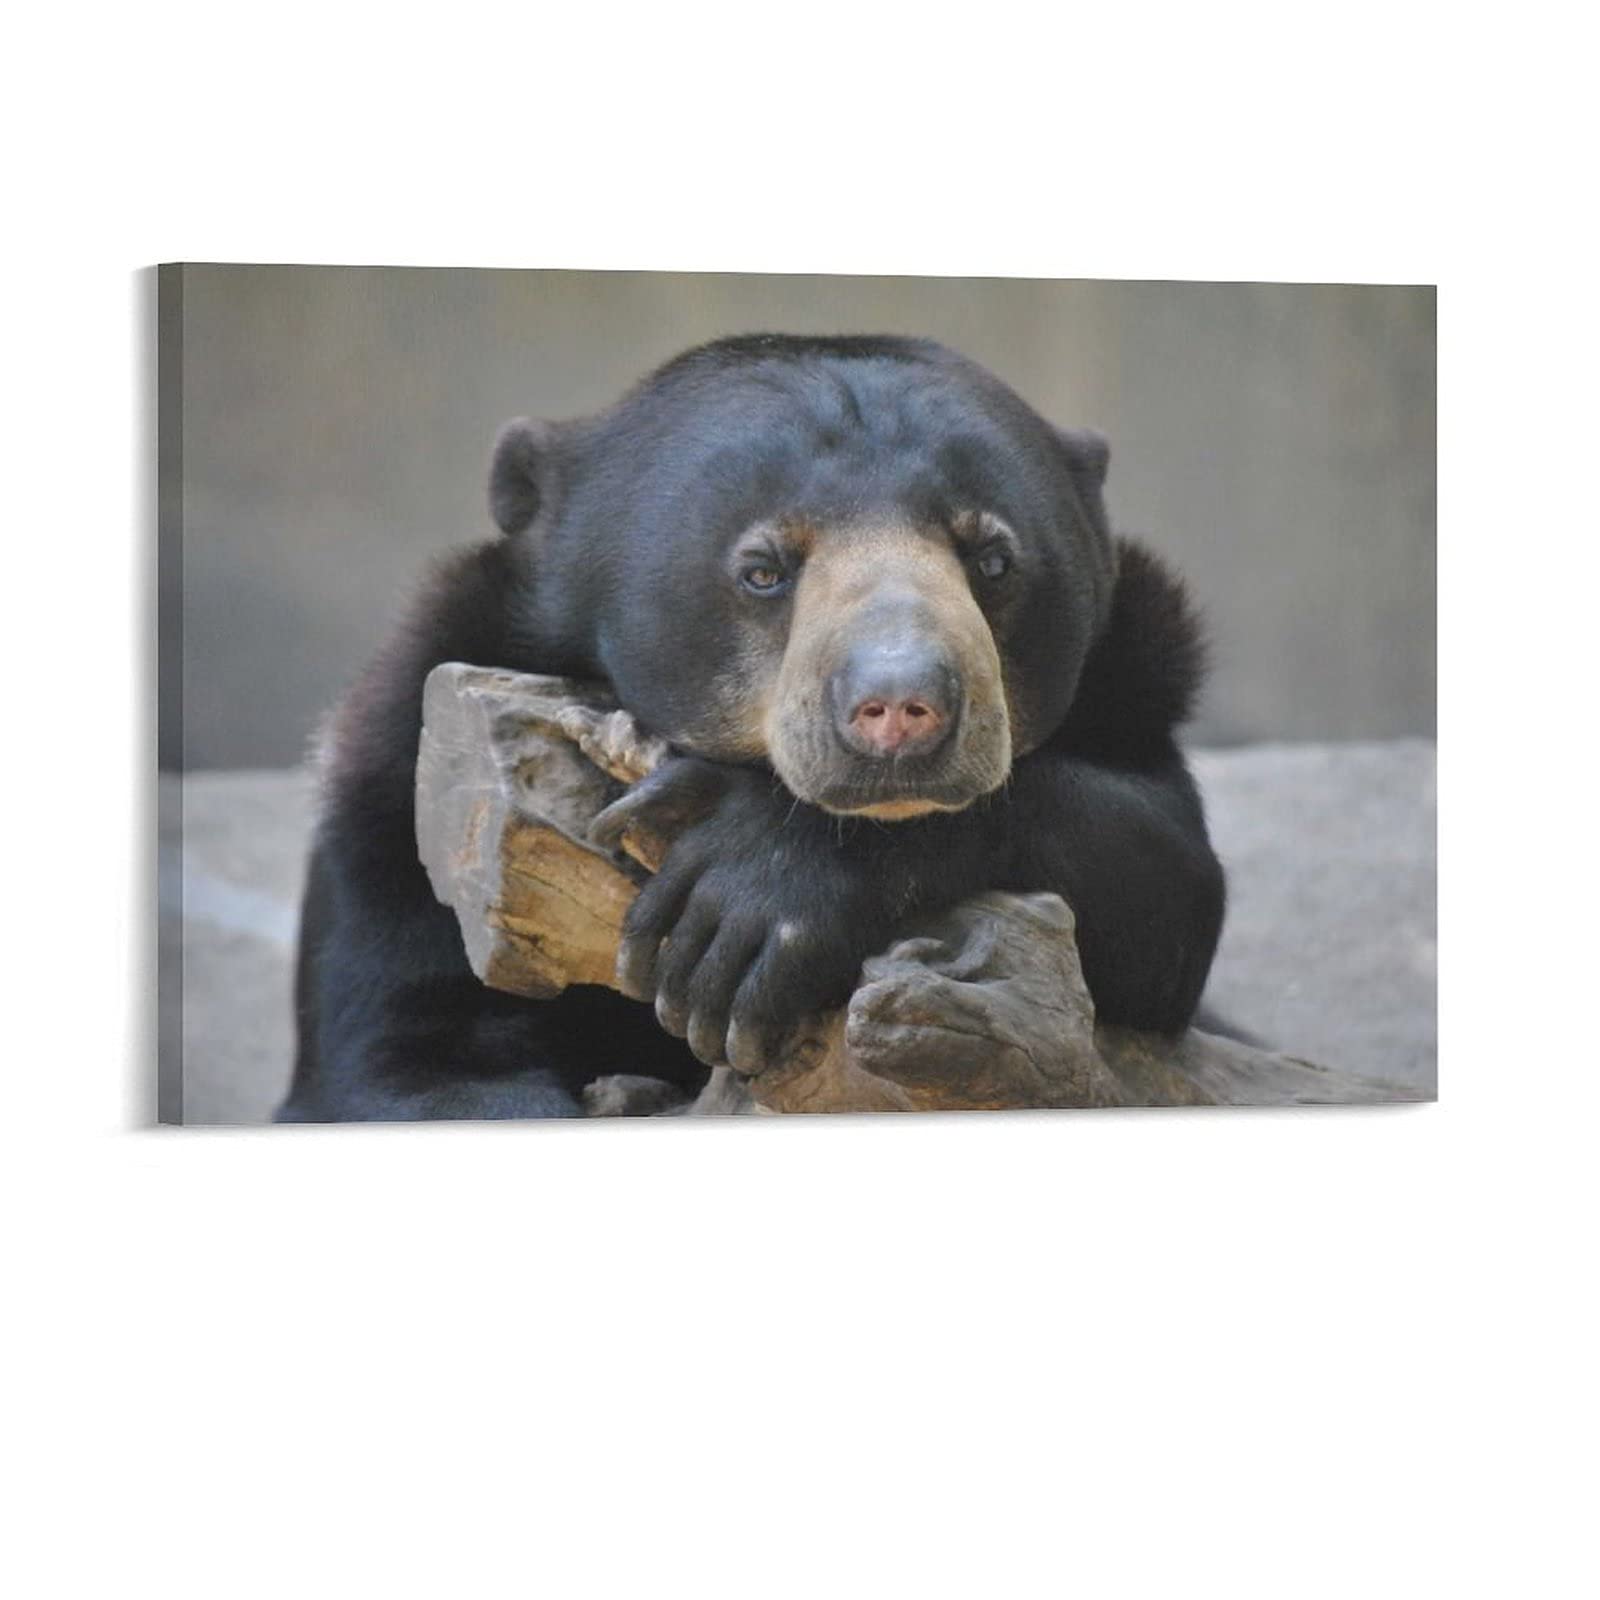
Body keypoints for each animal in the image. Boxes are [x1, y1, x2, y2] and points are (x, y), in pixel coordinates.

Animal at [280, 333, 1225, 1122]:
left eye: (993, 559)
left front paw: (749, 900)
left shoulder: (1139, 690)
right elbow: (419, 1045)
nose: (901, 707)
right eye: (763, 569)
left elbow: (1167, 888)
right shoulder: (417, 808)